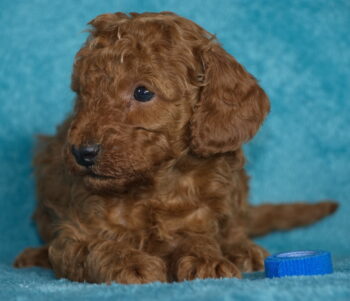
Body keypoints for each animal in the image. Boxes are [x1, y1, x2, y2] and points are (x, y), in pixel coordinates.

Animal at [13, 11, 336, 282]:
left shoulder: (200, 215)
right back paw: (33, 255)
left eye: (142, 92)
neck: (153, 184)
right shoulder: (75, 232)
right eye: (83, 94)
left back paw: (241, 249)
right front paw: (129, 263)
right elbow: (93, 246)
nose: (82, 152)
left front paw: (206, 259)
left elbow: (197, 238)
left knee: (235, 227)